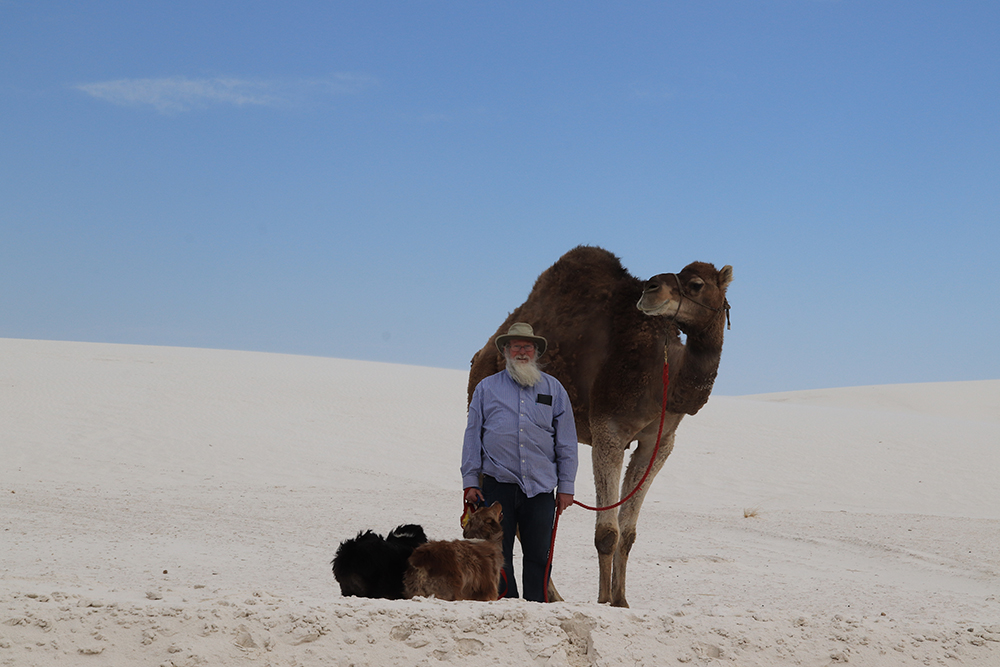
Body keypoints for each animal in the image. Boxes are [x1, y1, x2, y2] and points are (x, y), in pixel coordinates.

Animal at [464, 247, 732, 612]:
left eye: (695, 284)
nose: (651, 289)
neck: (662, 377)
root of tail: (481, 353)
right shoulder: (609, 430)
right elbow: (607, 533)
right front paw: (604, 600)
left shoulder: (659, 442)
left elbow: (628, 532)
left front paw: (621, 600)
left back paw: (551, 595)